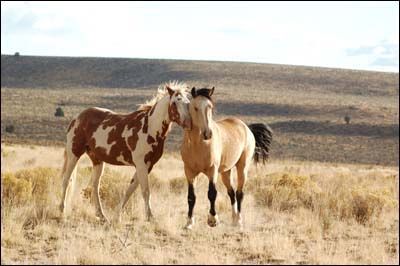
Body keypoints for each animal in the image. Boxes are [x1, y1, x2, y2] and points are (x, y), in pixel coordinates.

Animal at [58, 82, 191, 223]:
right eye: (175, 102)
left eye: (188, 102)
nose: (188, 122)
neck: (149, 128)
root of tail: (77, 118)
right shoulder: (141, 165)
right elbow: (145, 191)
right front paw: (150, 217)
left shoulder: (147, 166)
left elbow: (130, 190)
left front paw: (117, 216)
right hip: (74, 154)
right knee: (66, 179)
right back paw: (62, 210)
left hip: (97, 160)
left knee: (95, 186)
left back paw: (101, 215)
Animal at [180, 87, 272, 229]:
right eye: (195, 107)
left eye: (210, 107)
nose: (207, 134)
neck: (197, 145)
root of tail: (246, 127)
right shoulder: (189, 172)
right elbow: (191, 197)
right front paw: (189, 223)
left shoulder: (212, 171)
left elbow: (212, 193)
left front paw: (213, 220)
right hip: (225, 172)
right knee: (232, 192)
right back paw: (234, 220)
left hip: (242, 168)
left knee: (239, 193)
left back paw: (239, 221)